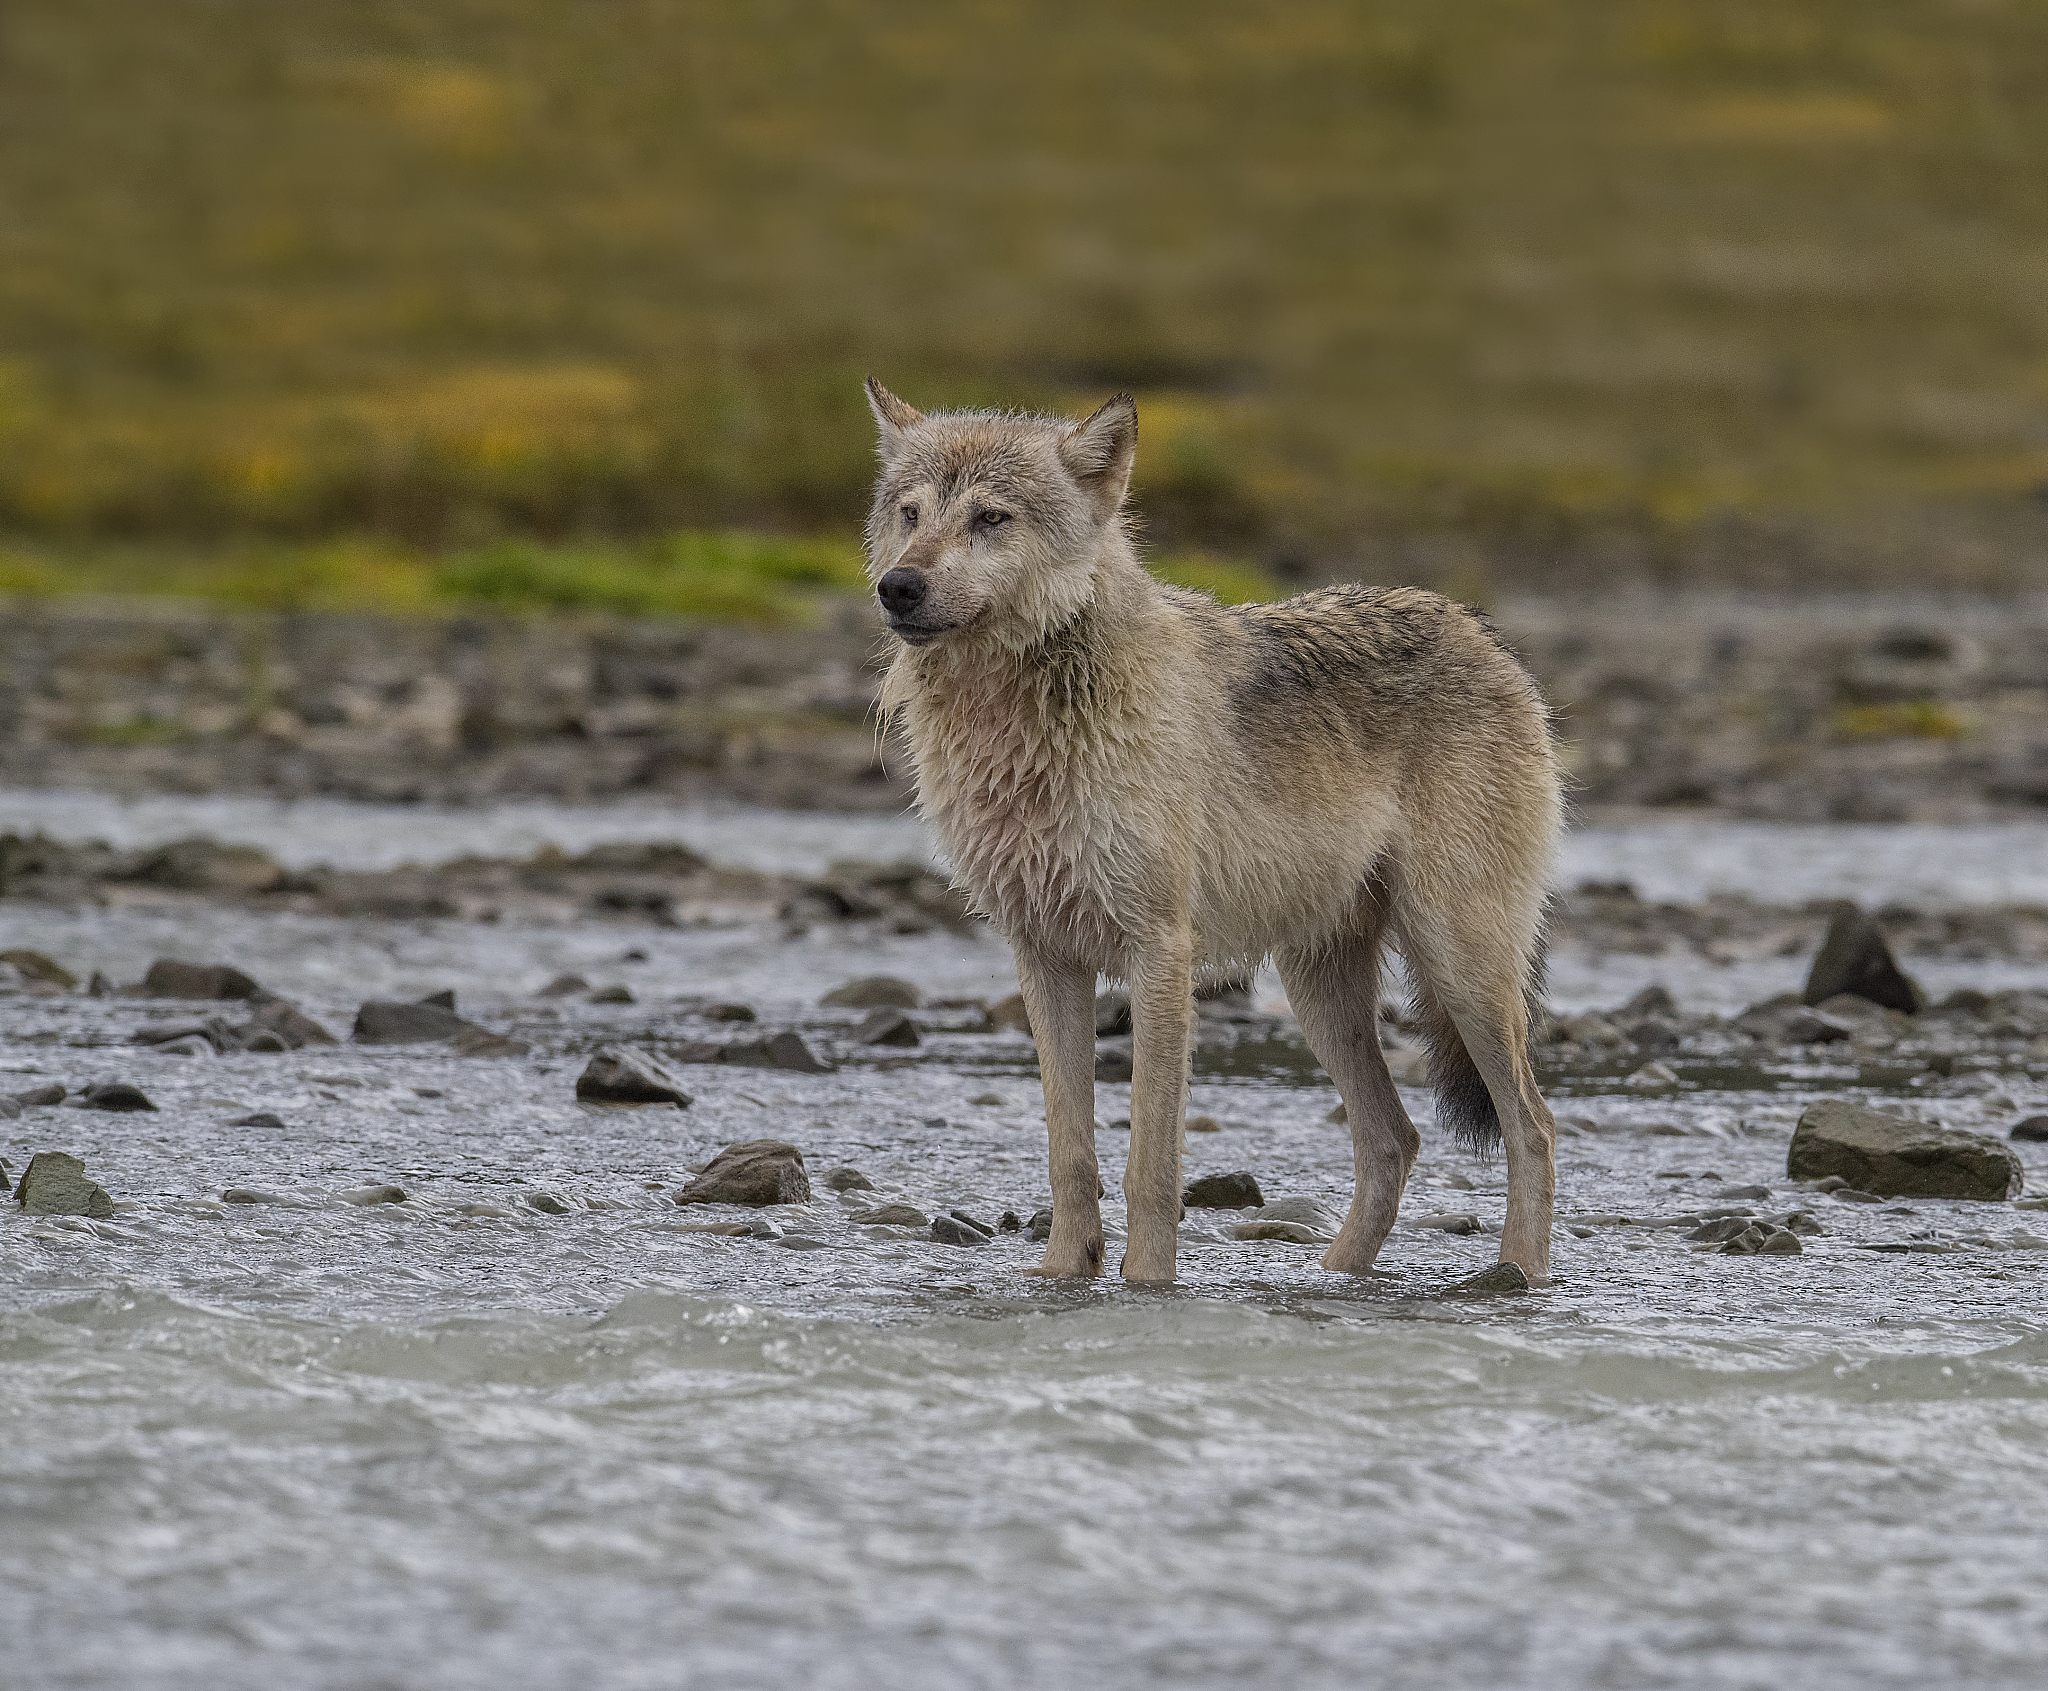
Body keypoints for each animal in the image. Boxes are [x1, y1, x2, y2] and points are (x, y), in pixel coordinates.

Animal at [863, 379, 1562, 1285]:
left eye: (990, 517)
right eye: (911, 512)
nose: (898, 586)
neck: (1026, 721)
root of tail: (1481, 628)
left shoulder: (1161, 952)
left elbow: (1150, 1164)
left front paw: (1147, 1287)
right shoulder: (1045, 958)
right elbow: (1071, 1153)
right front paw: (1061, 1278)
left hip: (1459, 964)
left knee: (1533, 1127)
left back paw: (1516, 1280)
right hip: (1319, 990)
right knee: (1396, 1139)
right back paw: (1335, 1278)